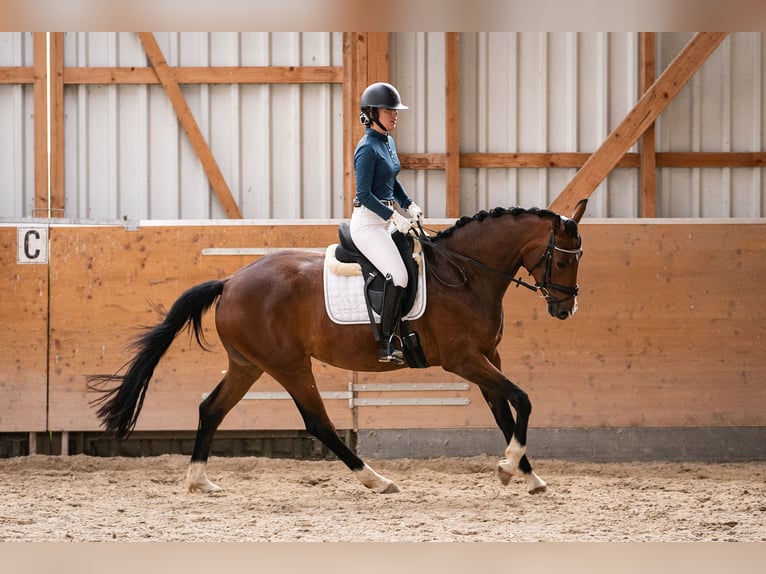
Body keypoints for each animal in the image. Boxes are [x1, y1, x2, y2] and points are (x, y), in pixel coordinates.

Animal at [90, 200, 592, 498]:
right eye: (563, 258)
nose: (566, 308)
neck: (465, 273)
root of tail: (230, 280)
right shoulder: (464, 360)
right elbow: (523, 399)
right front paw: (510, 469)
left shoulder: (489, 356)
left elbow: (506, 412)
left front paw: (526, 474)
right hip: (289, 365)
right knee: (319, 423)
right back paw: (376, 479)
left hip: (248, 365)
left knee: (211, 408)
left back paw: (199, 480)